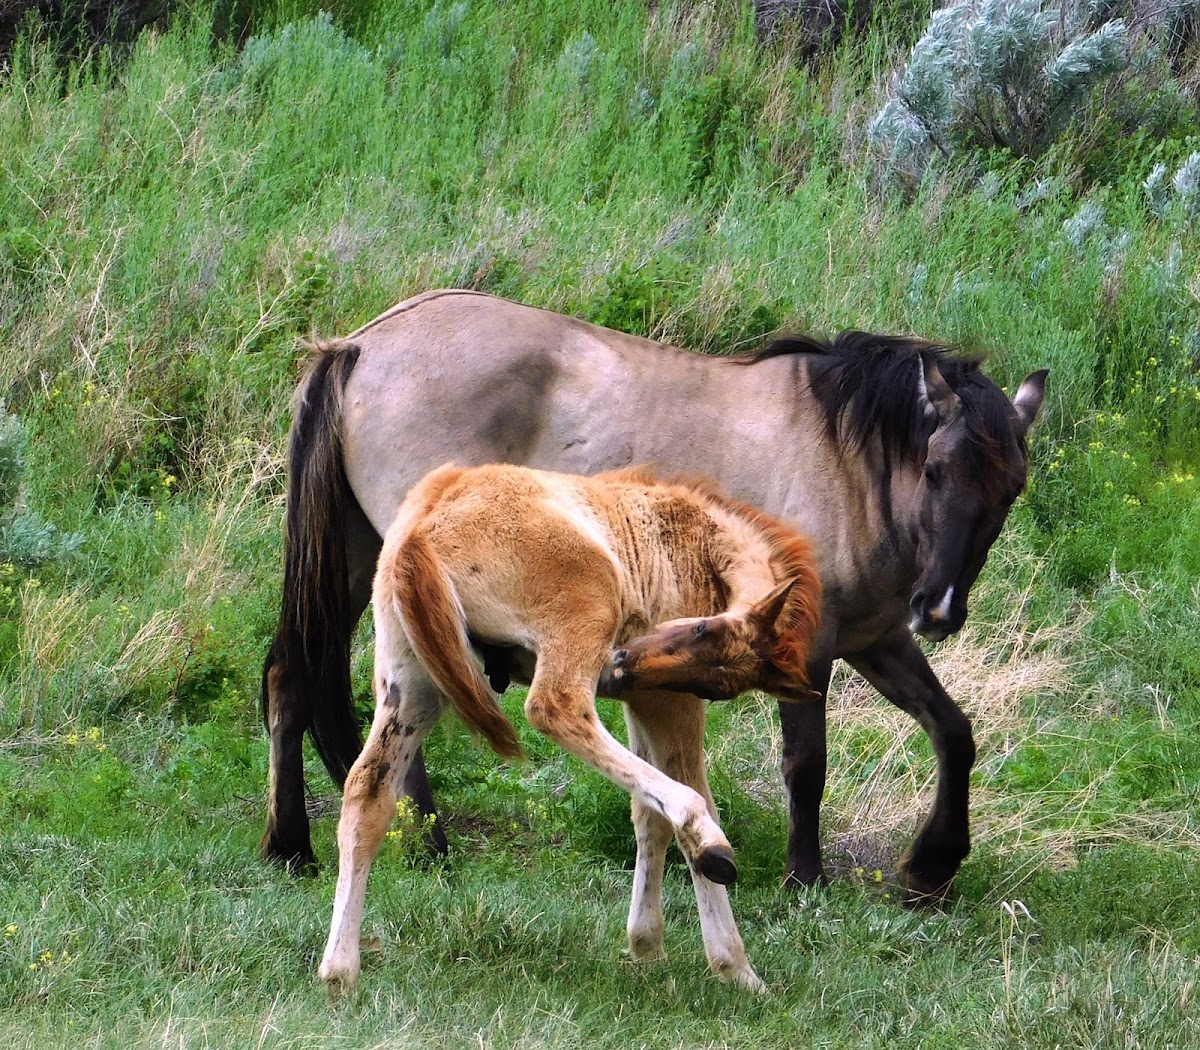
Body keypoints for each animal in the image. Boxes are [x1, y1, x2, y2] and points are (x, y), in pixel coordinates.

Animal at [258, 289, 1046, 902]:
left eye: (1011, 488)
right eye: (936, 470)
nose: (941, 609)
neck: (848, 461)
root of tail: (362, 345)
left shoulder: (879, 639)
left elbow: (953, 731)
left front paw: (932, 868)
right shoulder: (814, 645)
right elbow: (807, 765)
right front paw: (805, 881)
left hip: (357, 559)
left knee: (290, 680)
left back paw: (297, 848)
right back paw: (423, 845)